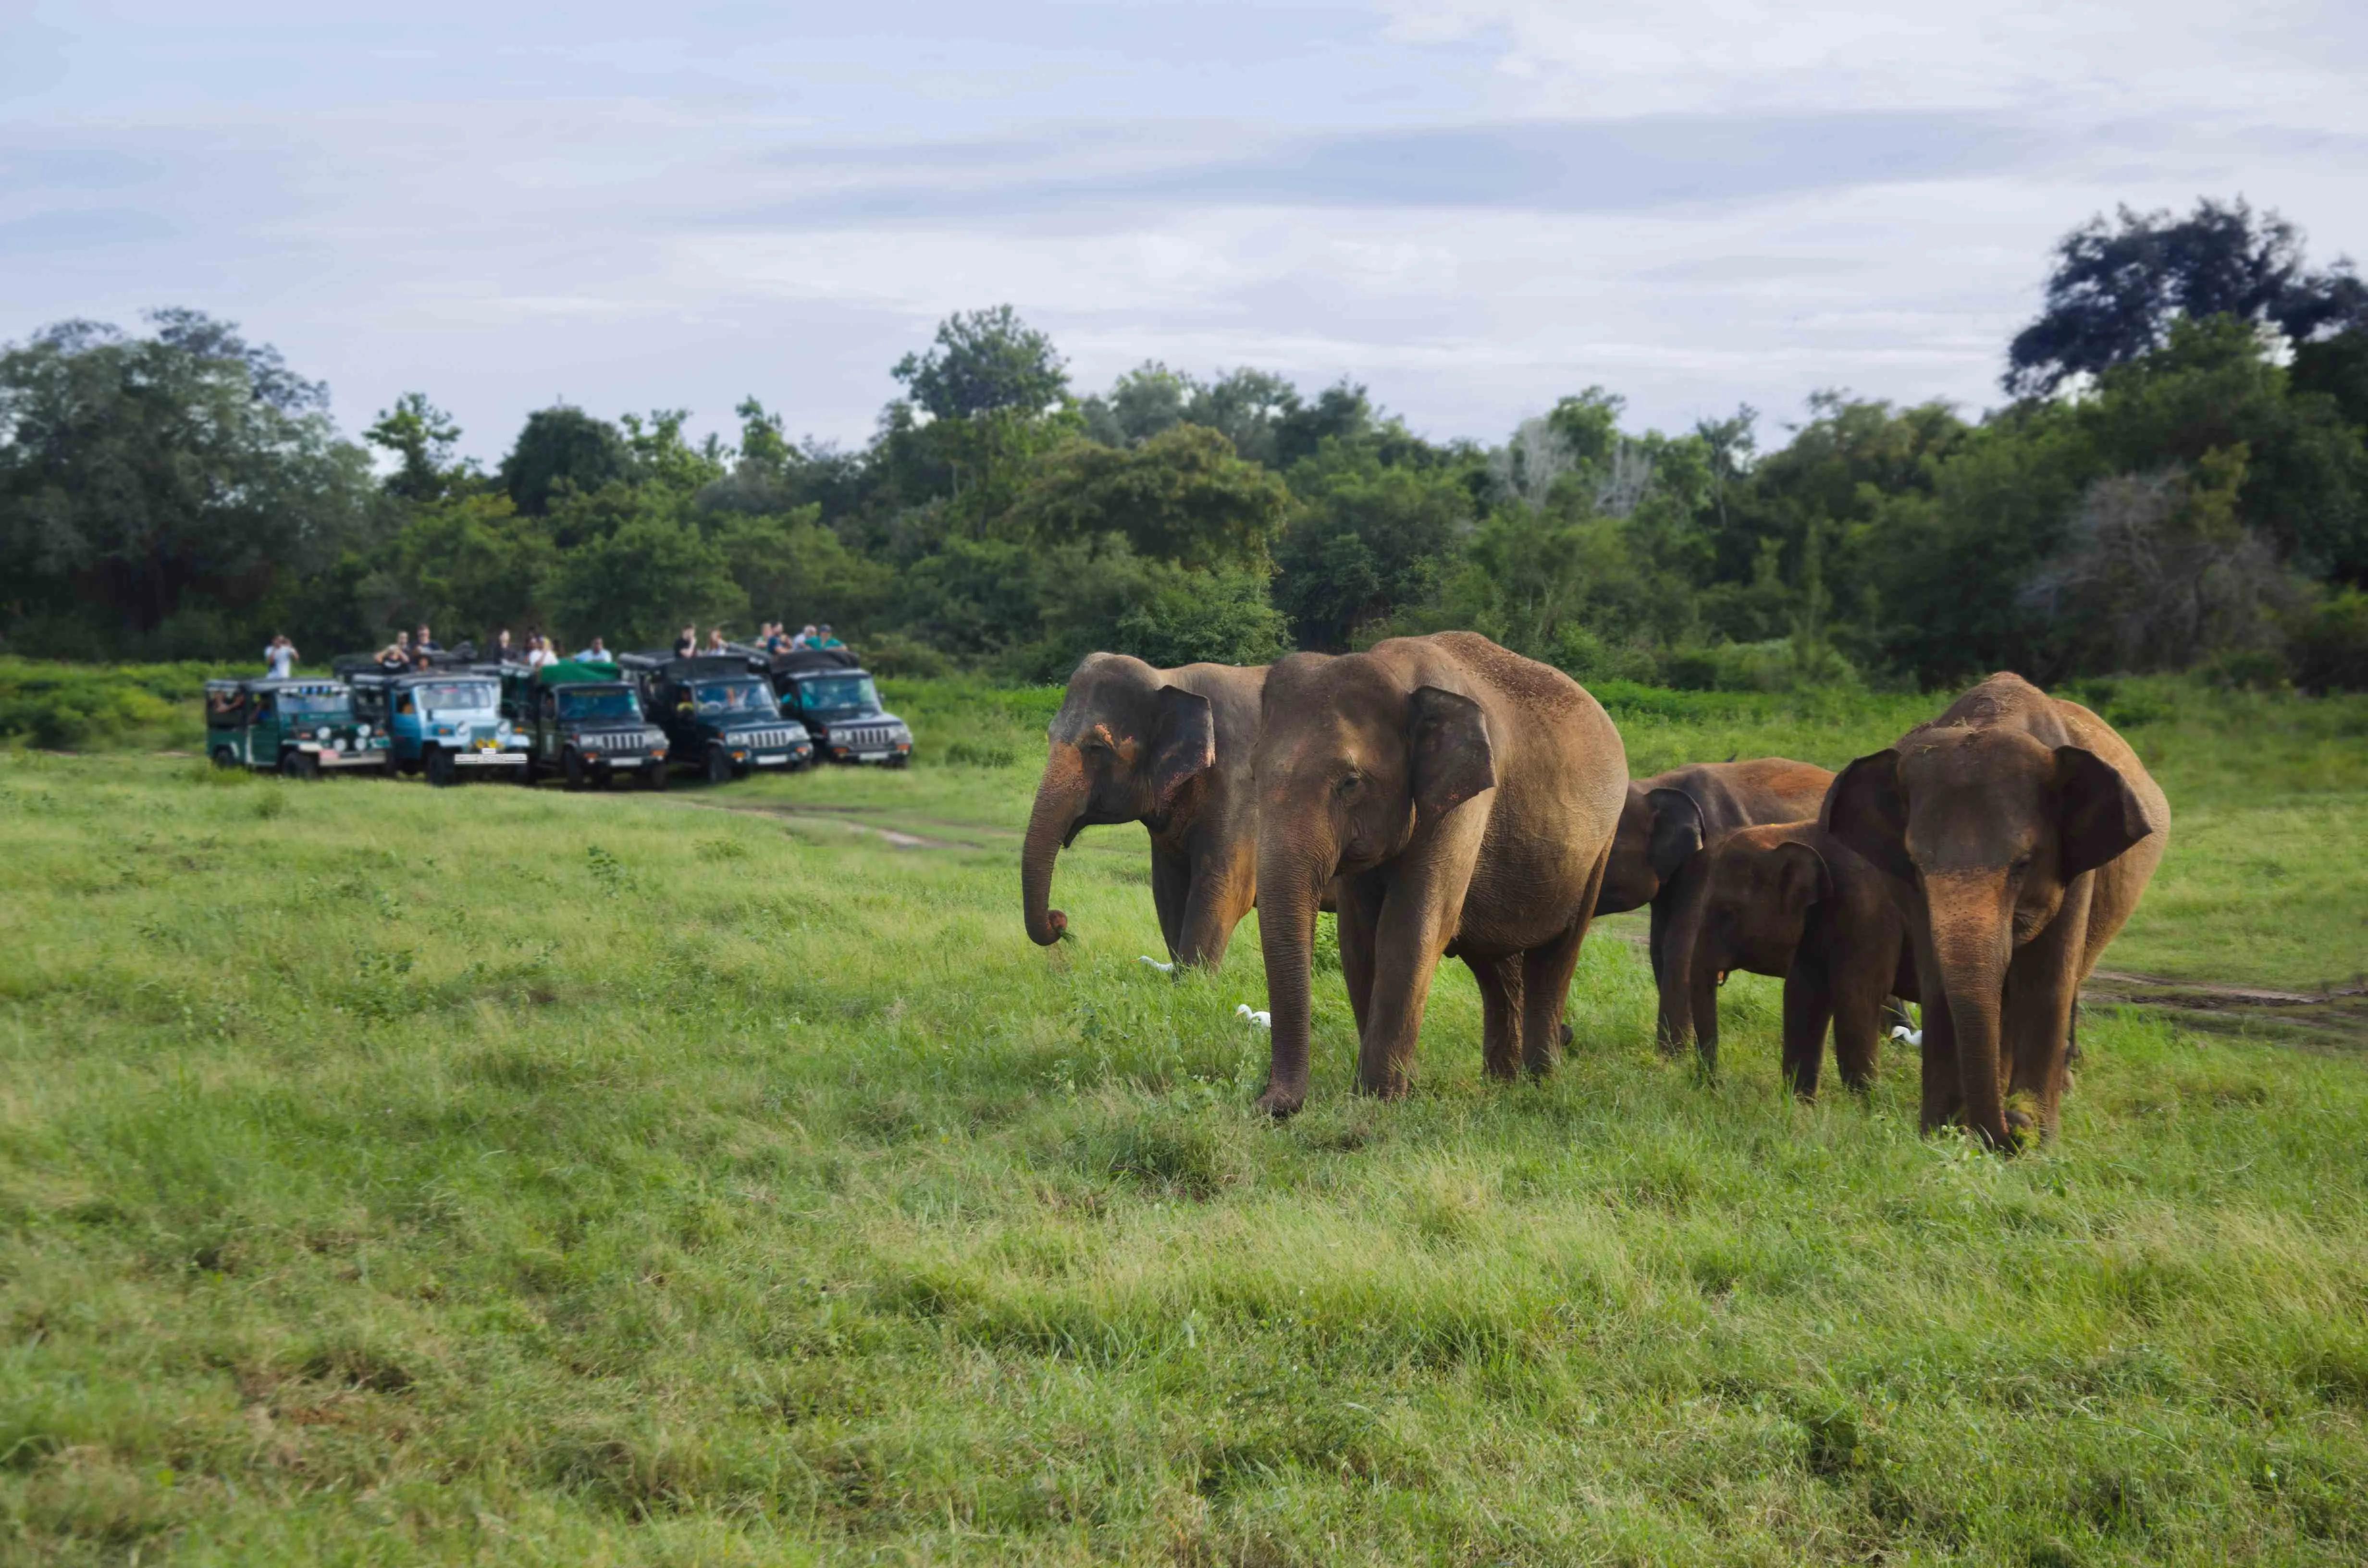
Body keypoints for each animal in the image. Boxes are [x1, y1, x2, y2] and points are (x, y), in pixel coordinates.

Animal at [1022, 653, 1266, 969]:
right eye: (1049, 736)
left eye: (1097, 747)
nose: (1059, 920)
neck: (1173, 679)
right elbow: (1167, 890)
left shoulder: (1241, 789)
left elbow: (1226, 891)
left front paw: (1192, 979)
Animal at [1251, 631, 1628, 1116]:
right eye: (1254, 774)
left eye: (1350, 783)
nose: (1268, 1105)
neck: (1397, 671)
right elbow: (1359, 941)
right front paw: (1401, 1089)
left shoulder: (1464, 804)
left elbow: (1410, 928)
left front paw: (1378, 1101)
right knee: (1495, 966)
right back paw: (1502, 1083)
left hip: (1600, 846)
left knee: (1557, 956)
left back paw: (1541, 1082)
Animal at [1653, 821, 1917, 1095]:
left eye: (1728, 912)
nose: (1712, 1086)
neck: (1793, 832)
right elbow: (1804, 994)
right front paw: (1798, 1102)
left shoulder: (1869, 913)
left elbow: (1856, 997)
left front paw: (1864, 1102)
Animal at [1826, 672, 2169, 1147]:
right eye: (1915, 865)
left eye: (2023, 864)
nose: (2014, 1125)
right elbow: (1939, 984)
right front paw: (1941, 1131)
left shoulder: (2076, 868)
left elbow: (2046, 980)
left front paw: (2037, 1136)